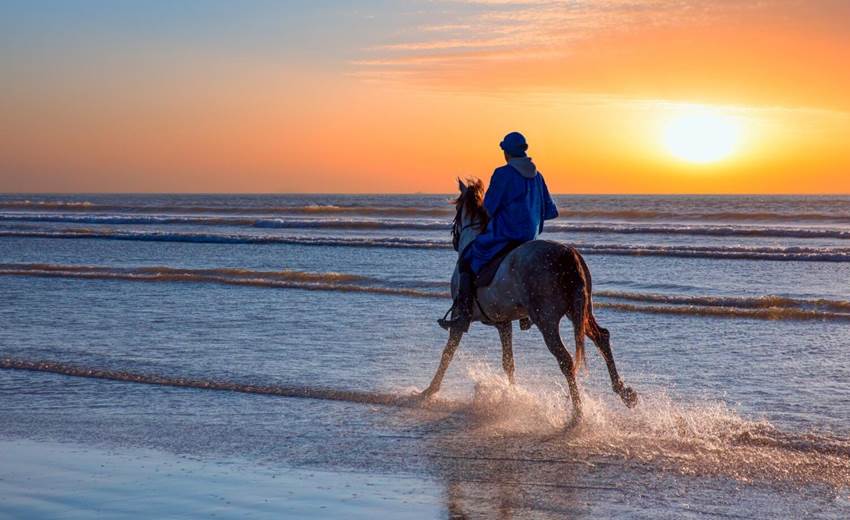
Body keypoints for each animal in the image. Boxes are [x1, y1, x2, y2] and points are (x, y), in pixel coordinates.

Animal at [421, 178, 637, 424]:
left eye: (457, 210)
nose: (455, 240)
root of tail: (567, 253)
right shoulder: (503, 323)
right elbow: (508, 362)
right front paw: (511, 396)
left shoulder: (460, 318)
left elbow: (448, 353)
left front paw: (430, 390)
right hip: (580, 312)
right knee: (602, 338)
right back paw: (624, 393)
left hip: (547, 320)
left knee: (565, 360)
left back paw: (578, 413)